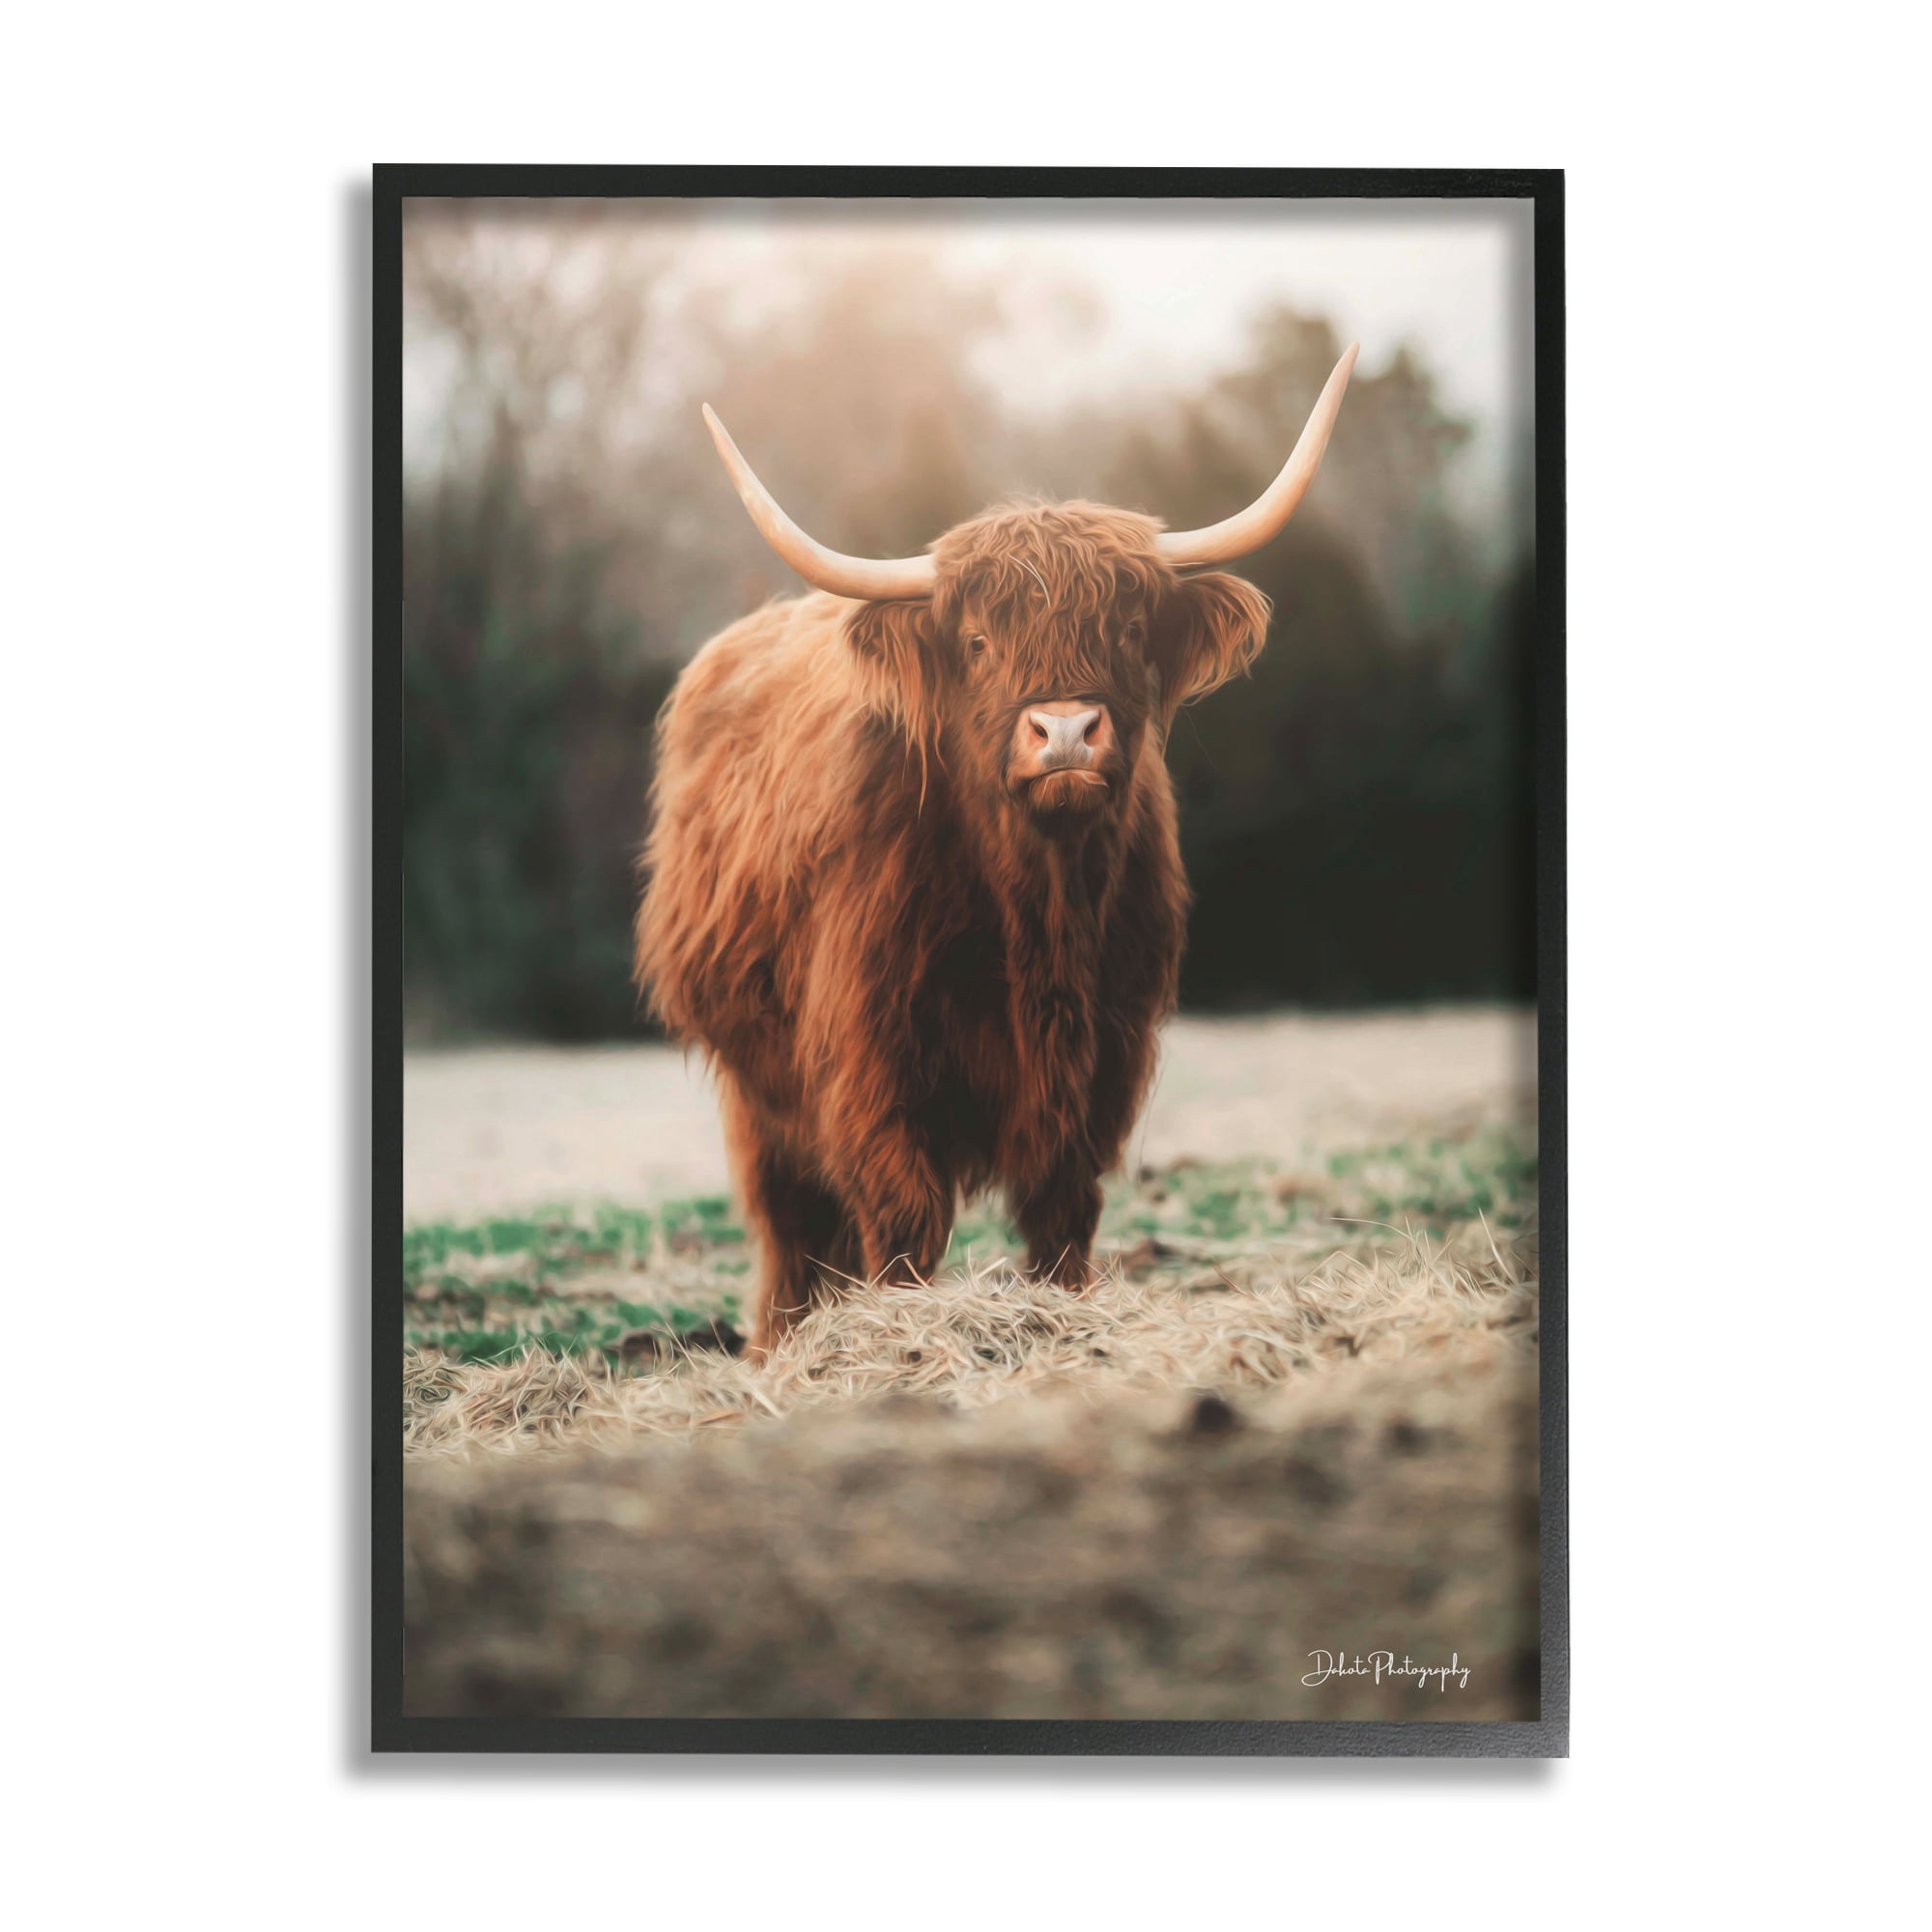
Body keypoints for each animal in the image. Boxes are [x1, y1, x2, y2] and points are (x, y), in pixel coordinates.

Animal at [635, 346, 1357, 1358]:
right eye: (977, 642)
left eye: (1127, 631)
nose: (1065, 732)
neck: (1038, 906)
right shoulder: (868, 1053)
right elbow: (901, 1213)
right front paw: (901, 1334)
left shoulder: (1105, 1052)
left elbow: (1063, 1207)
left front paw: (1061, 1314)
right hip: (754, 1079)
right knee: (788, 1220)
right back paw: (781, 1344)